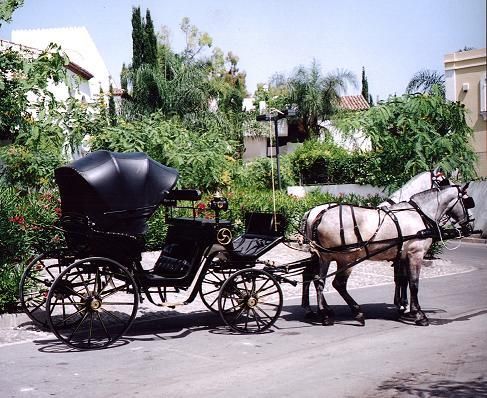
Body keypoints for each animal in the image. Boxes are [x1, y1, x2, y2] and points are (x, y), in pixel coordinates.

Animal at [308, 184, 472, 326]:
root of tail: (319, 216)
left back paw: (325, 314)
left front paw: (406, 309)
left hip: (325, 257)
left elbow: (403, 280)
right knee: (338, 284)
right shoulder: (415, 254)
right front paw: (419, 315)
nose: (470, 224)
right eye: (467, 200)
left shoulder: (403, 256)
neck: (419, 213)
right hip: (347, 259)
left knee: (319, 281)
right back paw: (357, 313)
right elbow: (414, 284)